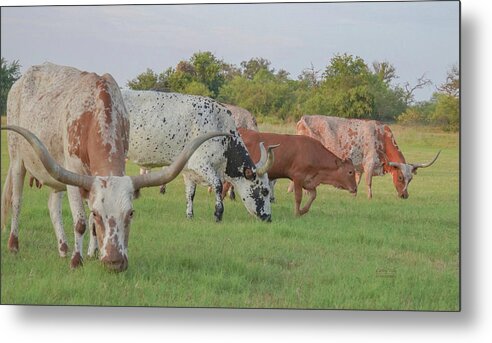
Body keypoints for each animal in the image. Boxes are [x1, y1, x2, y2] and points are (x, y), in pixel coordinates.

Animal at [0, 62, 224, 272]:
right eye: (98, 213)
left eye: (131, 213)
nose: (114, 263)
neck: (95, 112)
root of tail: (21, 80)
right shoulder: (73, 174)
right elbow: (81, 222)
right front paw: (76, 261)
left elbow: (90, 225)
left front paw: (92, 254)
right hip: (17, 158)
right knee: (17, 201)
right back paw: (14, 245)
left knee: (53, 206)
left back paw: (63, 249)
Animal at [121, 88, 274, 223]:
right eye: (265, 191)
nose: (268, 218)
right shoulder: (201, 164)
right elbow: (218, 185)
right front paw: (218, 214)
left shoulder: (189, 170)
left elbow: (190, 193)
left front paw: (190, 215)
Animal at [296, 115, 442, 199]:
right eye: (400, 177)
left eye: (410, 179)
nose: (404, 195)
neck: (381, 137)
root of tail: (304, 118)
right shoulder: (369, 164)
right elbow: (369, 182)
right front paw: (369, 197)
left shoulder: (358, 167)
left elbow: (356, 181)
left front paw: (353, 195)